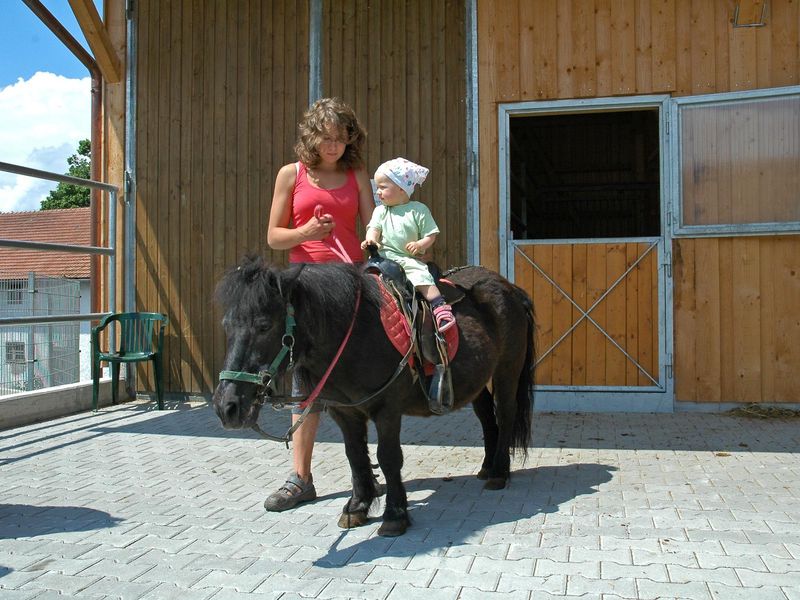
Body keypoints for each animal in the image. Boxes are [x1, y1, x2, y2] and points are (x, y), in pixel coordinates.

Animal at [212, 255, 536, 536]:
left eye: (264, 325)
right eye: (226, 325)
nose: (227, 407)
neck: (355, 333)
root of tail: (509, 288)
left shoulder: (387, 410)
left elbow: (388, 457)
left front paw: (394, 515)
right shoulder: (344, 412)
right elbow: (355, 456)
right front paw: (358, 507)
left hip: (507, 370)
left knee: (505, 414)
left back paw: (499, 472)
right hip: (477, 381)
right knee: (487, 418)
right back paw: (487, 467)